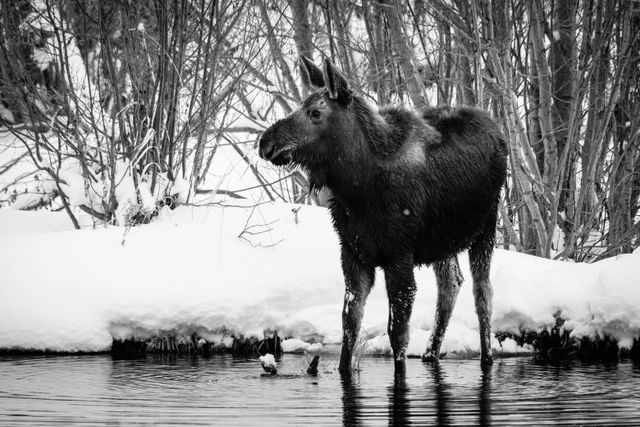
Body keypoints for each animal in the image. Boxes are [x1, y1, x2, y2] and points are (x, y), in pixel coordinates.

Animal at [258, 56, 508, 374]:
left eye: (315, 112)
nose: (265, 143)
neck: (357, 189)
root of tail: (497, 131)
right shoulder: (353, 254)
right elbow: (350, 325)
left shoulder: (398, 256)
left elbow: (397, 333)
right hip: (443, 242)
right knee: (451, 284)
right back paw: (430, 353)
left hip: (486, 226)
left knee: (483, 293)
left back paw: (486, 358)